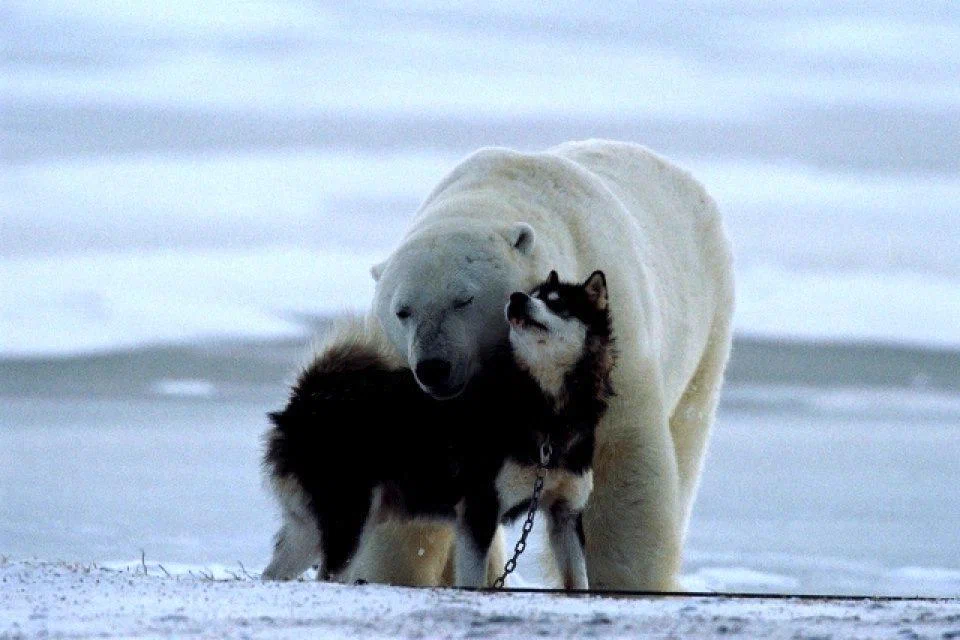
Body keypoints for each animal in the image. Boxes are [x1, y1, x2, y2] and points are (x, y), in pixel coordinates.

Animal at [262, 270, 616, 592]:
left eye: (557, 303)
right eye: (534, 294)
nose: (516, 298)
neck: (544, 409)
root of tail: (304, 400)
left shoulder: (565, 514)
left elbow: (578, 582)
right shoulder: (479, 510)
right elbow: (474, 581)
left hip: (312, 529)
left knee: (275, 572)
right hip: (348, 518)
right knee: (329, 575)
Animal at [352, 140, 736, 592]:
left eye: (463, 299)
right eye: (402, 310)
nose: (433, 367)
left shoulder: (610, 350)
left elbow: (622, 470)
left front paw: (625, 581)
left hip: (708, 318)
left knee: (687, 431)